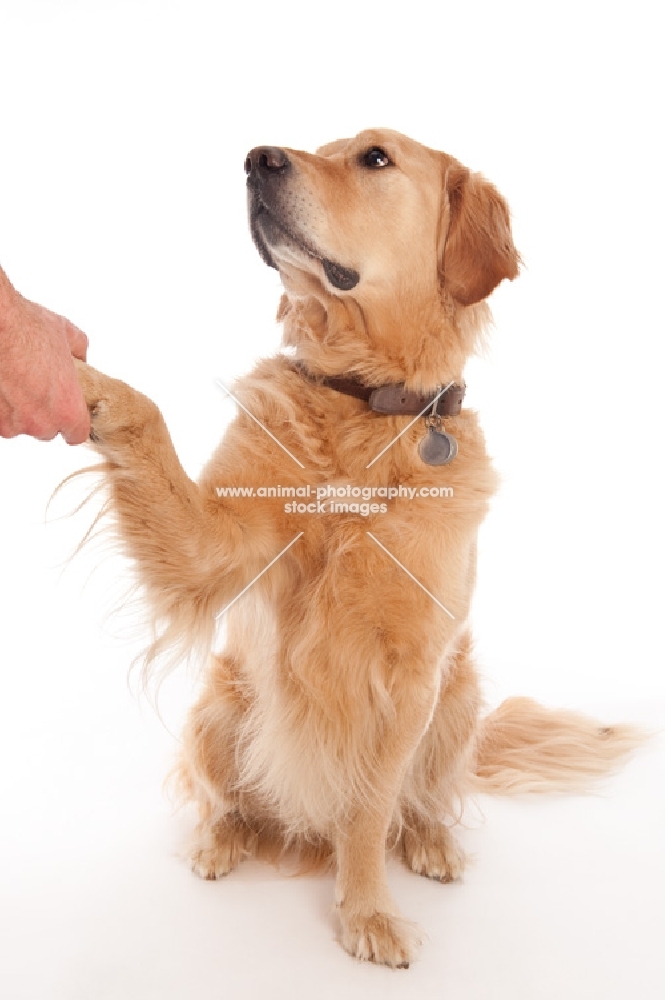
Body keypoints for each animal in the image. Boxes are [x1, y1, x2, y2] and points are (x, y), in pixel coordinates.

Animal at [72, 129, 640, 964]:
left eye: (374, 157)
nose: (256, 159)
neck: (366, 402)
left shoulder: (408, 676)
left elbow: (369, 809)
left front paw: (366, 908)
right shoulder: (214, 544)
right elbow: (145, 417)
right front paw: (79, 374)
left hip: (457, 699)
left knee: (420, 799)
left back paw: (431, 840)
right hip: (220, 704)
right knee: (221, 796)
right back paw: (221, 838)